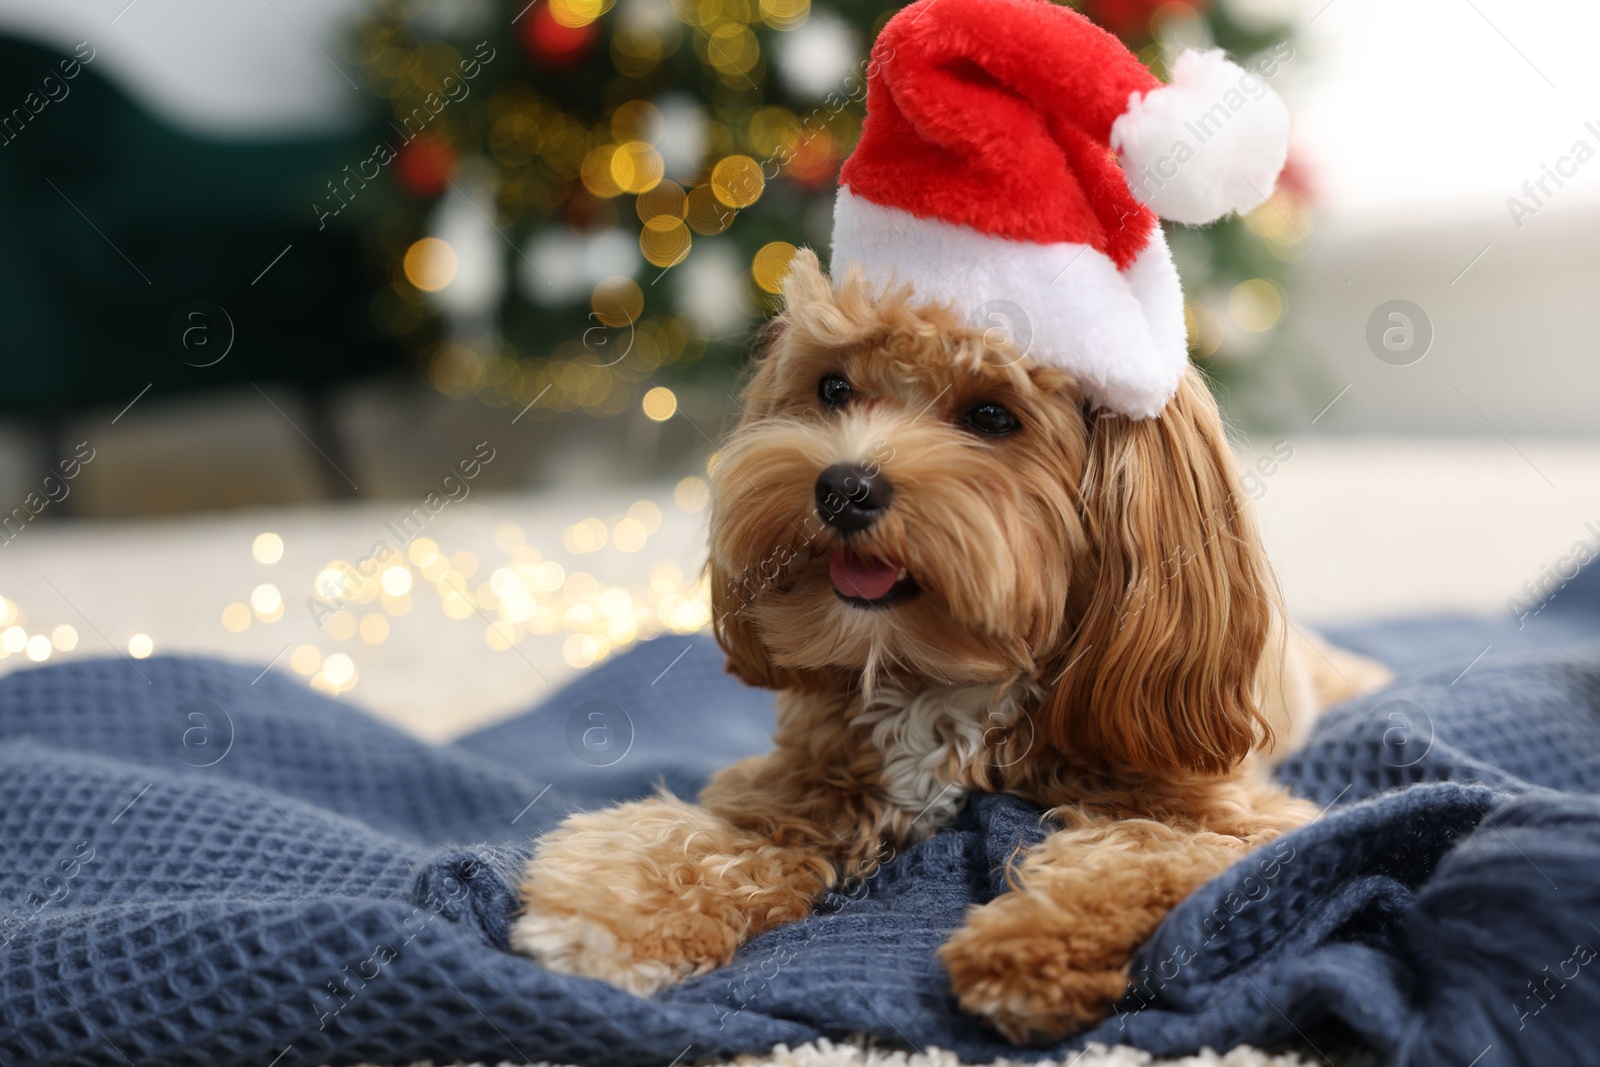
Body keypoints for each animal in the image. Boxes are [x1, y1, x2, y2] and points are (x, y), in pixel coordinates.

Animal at [512, 247, 1388, 1036]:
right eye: (833, 388)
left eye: (991, 416)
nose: (843, 485)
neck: (944, 677)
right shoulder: (800, 784)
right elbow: (697, 836)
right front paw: (611, 913)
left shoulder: (1240, 820)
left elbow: (1143, 854)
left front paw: (1034, 940)